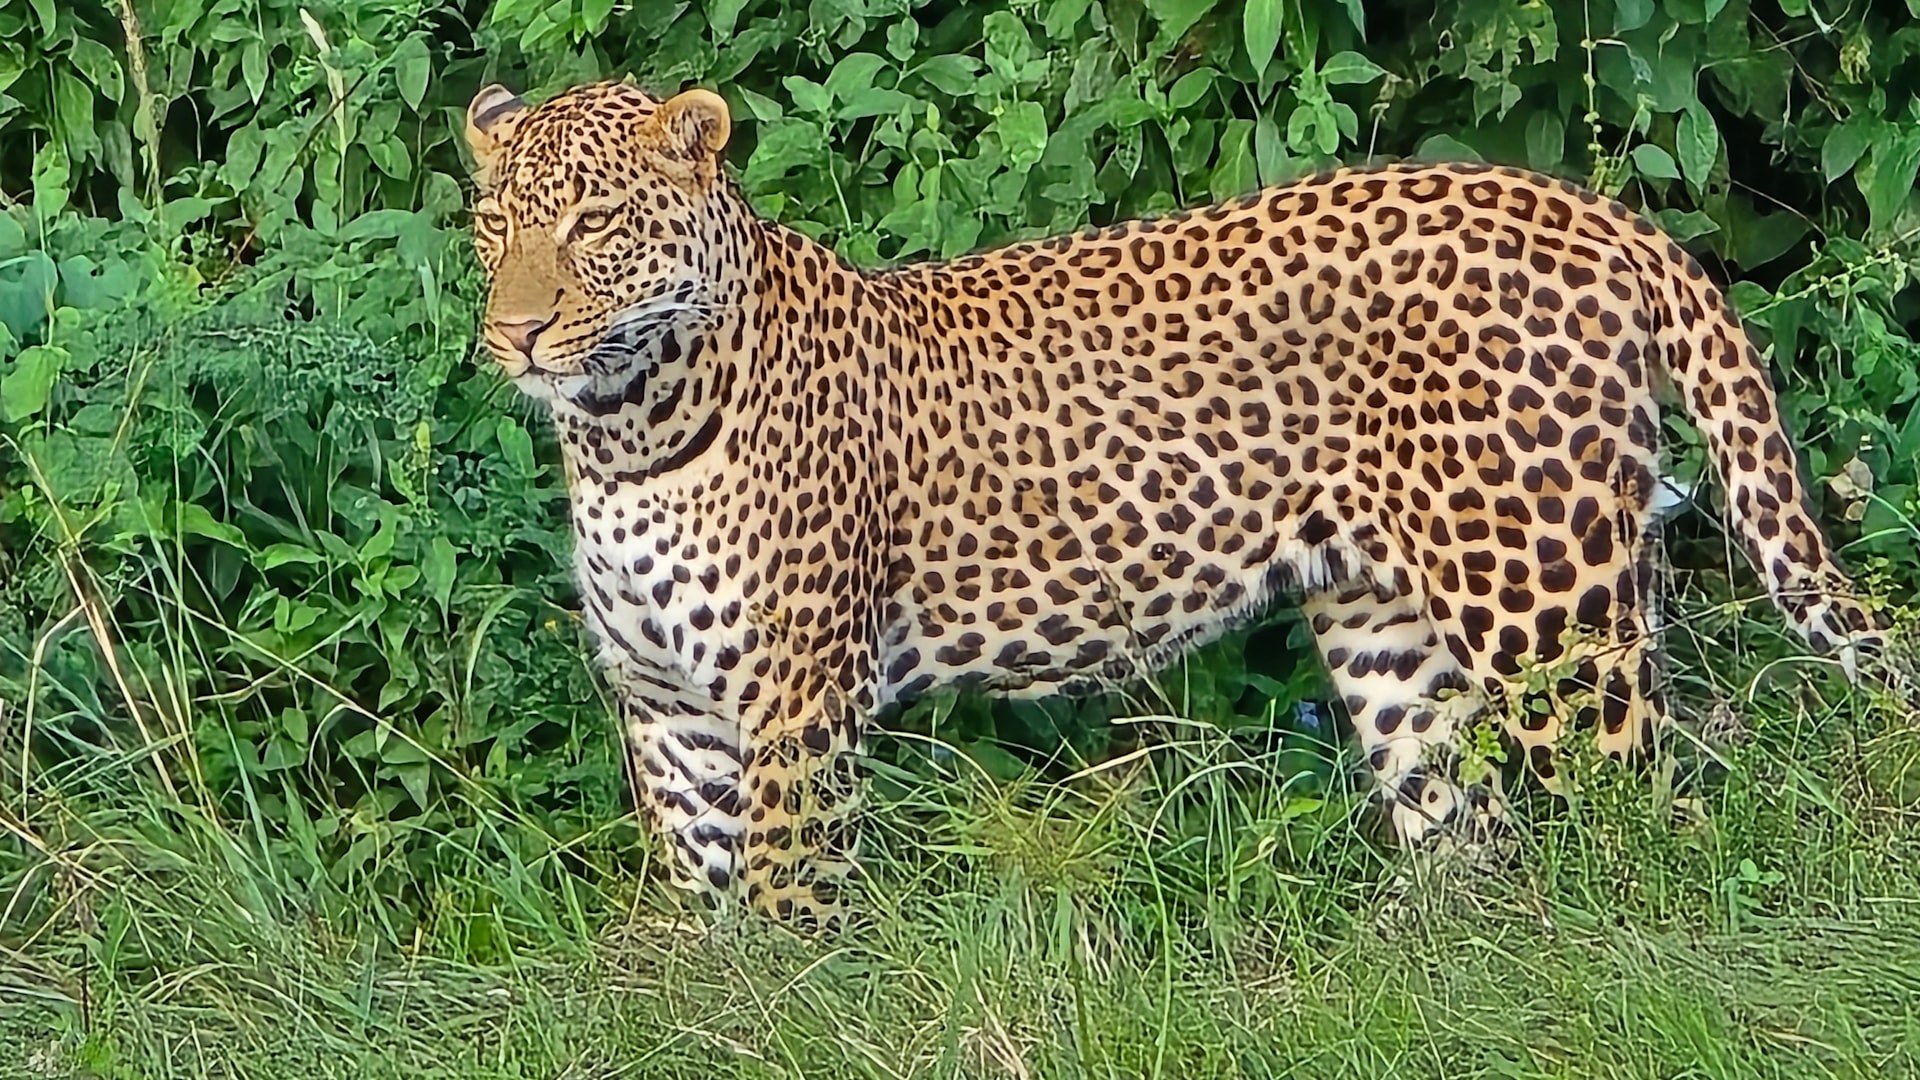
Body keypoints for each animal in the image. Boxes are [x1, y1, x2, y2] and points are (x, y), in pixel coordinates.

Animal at [463, 79, 1887, 930]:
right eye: (491, 227)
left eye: (596, 223)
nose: (516, 333)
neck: (625, 431)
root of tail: (1585, 209)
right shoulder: (670, 715)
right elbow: (712, 908)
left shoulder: (794, 700)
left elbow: (785, 894)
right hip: (1388, 630)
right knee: (1465, 828)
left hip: (1549, 609)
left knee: (1658, 819)